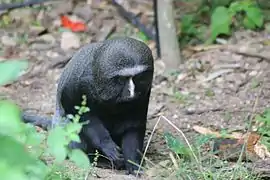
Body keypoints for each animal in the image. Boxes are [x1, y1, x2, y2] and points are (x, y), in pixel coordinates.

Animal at [21, 37, 154, 174]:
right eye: (122, 79)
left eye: (139, 78)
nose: (131, 93)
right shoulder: (77, 85)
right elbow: (79, 114)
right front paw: (107, 145)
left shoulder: (144, 94)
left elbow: (133, 125)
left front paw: (133, 163)